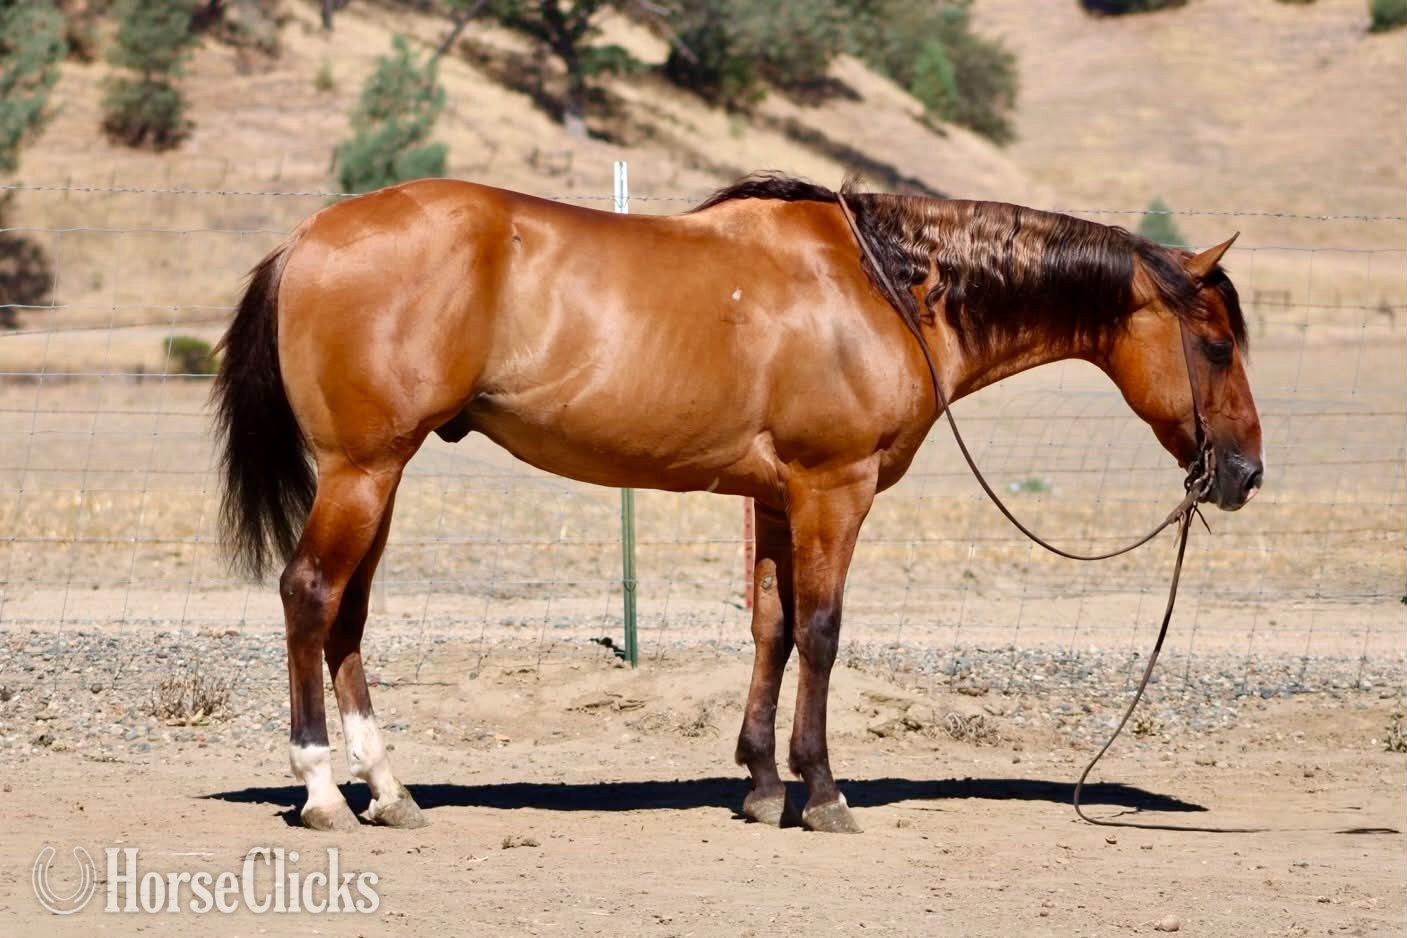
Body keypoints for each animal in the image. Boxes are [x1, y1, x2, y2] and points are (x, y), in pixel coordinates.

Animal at [212, 173, 1262, 835]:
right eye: (1215, 345)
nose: (1245, 473)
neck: (883, 289)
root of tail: (308, 236)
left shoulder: (775, 497)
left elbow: (773, 628)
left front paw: (759, 783)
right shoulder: (834, 488)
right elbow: (824, 631)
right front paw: (823, 792)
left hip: (381, 475)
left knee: (348, 617)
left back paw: (388, 791)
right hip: (361, 470)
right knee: (310, 595)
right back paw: (323, 793)